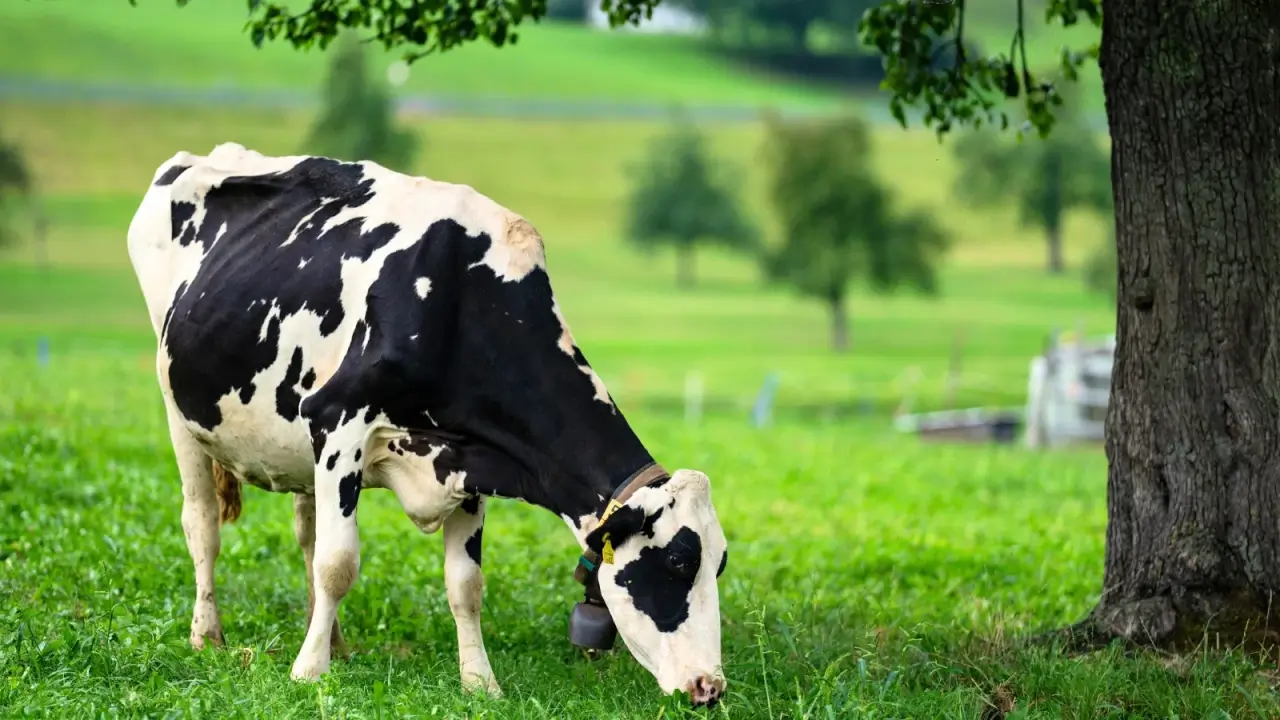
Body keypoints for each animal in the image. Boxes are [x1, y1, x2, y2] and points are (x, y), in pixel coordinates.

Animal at [124, 143, 729, 706]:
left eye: (718, 566)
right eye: (679, 563)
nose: (710, 685)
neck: (459, 302)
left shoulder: (473, 457)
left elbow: (465, 584)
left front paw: (479, 681)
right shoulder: (337, 423)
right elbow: (338, 564)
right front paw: (308, 673)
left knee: (307, 533)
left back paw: (333, 640)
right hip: (178, 408)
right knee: (202, 523)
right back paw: (209, 634)